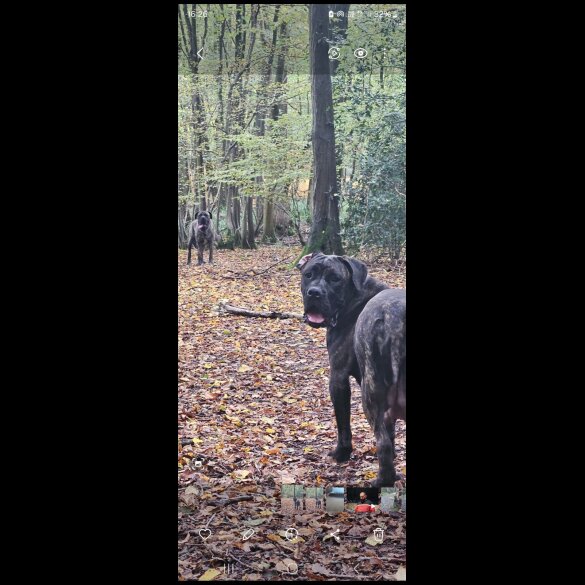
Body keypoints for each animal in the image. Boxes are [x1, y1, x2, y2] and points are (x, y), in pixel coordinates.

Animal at [298, 253, 404, 486]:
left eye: (335, 279)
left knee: (381, 442)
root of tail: (394, 319)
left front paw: (341, 453)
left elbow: (343, 423)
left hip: (370, 394)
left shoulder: (338, 378)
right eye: (309, 274)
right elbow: (391, 432)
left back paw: (382, 481)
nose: (314, 292)